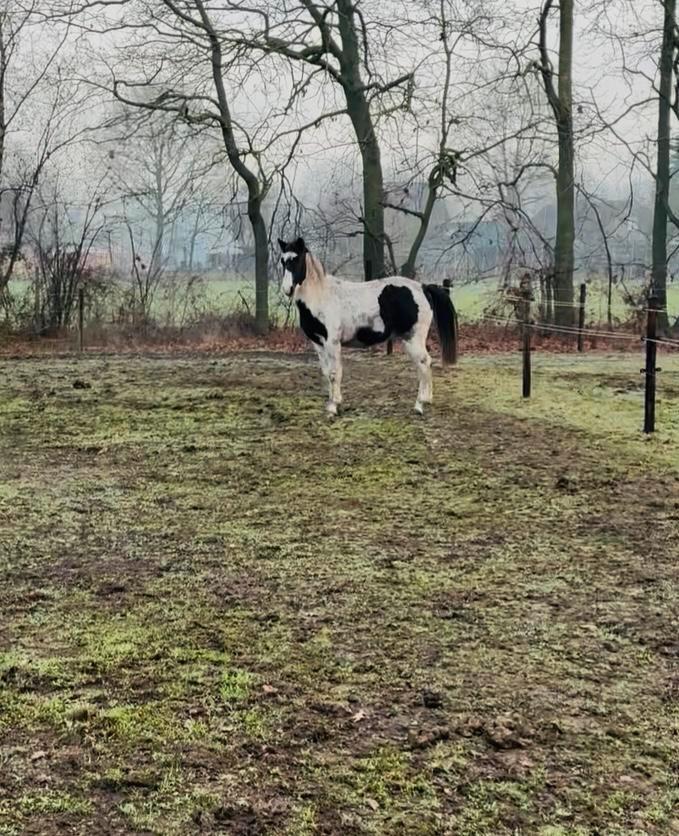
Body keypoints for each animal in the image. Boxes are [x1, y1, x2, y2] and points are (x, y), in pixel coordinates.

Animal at [278, 236, 458, 415]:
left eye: (297, 259)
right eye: (283, 261)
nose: (287, 289)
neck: (321, 296)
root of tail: (423, 287)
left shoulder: (332, 343)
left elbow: (335, 373)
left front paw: (334, 407)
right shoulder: (318, 344)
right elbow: (327, 373)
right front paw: (331, 404)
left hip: (413, 339)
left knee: (424, 362)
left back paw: (420, 404)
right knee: (425, 364)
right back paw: (427, 400)